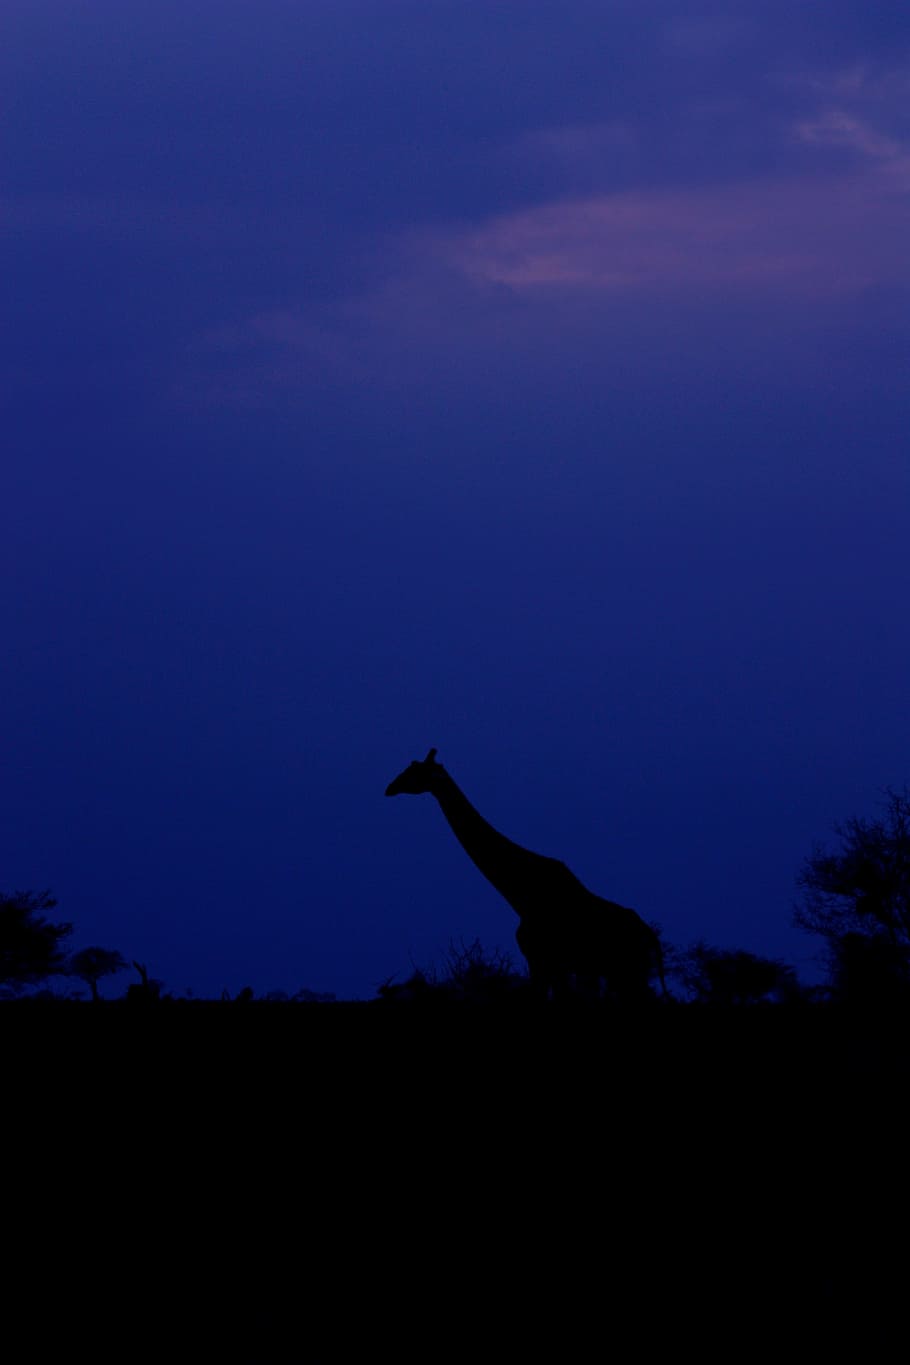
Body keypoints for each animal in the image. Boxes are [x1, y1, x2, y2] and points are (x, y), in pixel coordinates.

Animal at [385, 749, 668, 1002]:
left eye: (416, 771)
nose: (390, 787)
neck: (521, 893)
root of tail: (650, 937)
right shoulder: (552, 965)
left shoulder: (543, 960)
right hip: (622, 973)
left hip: (628, 972)